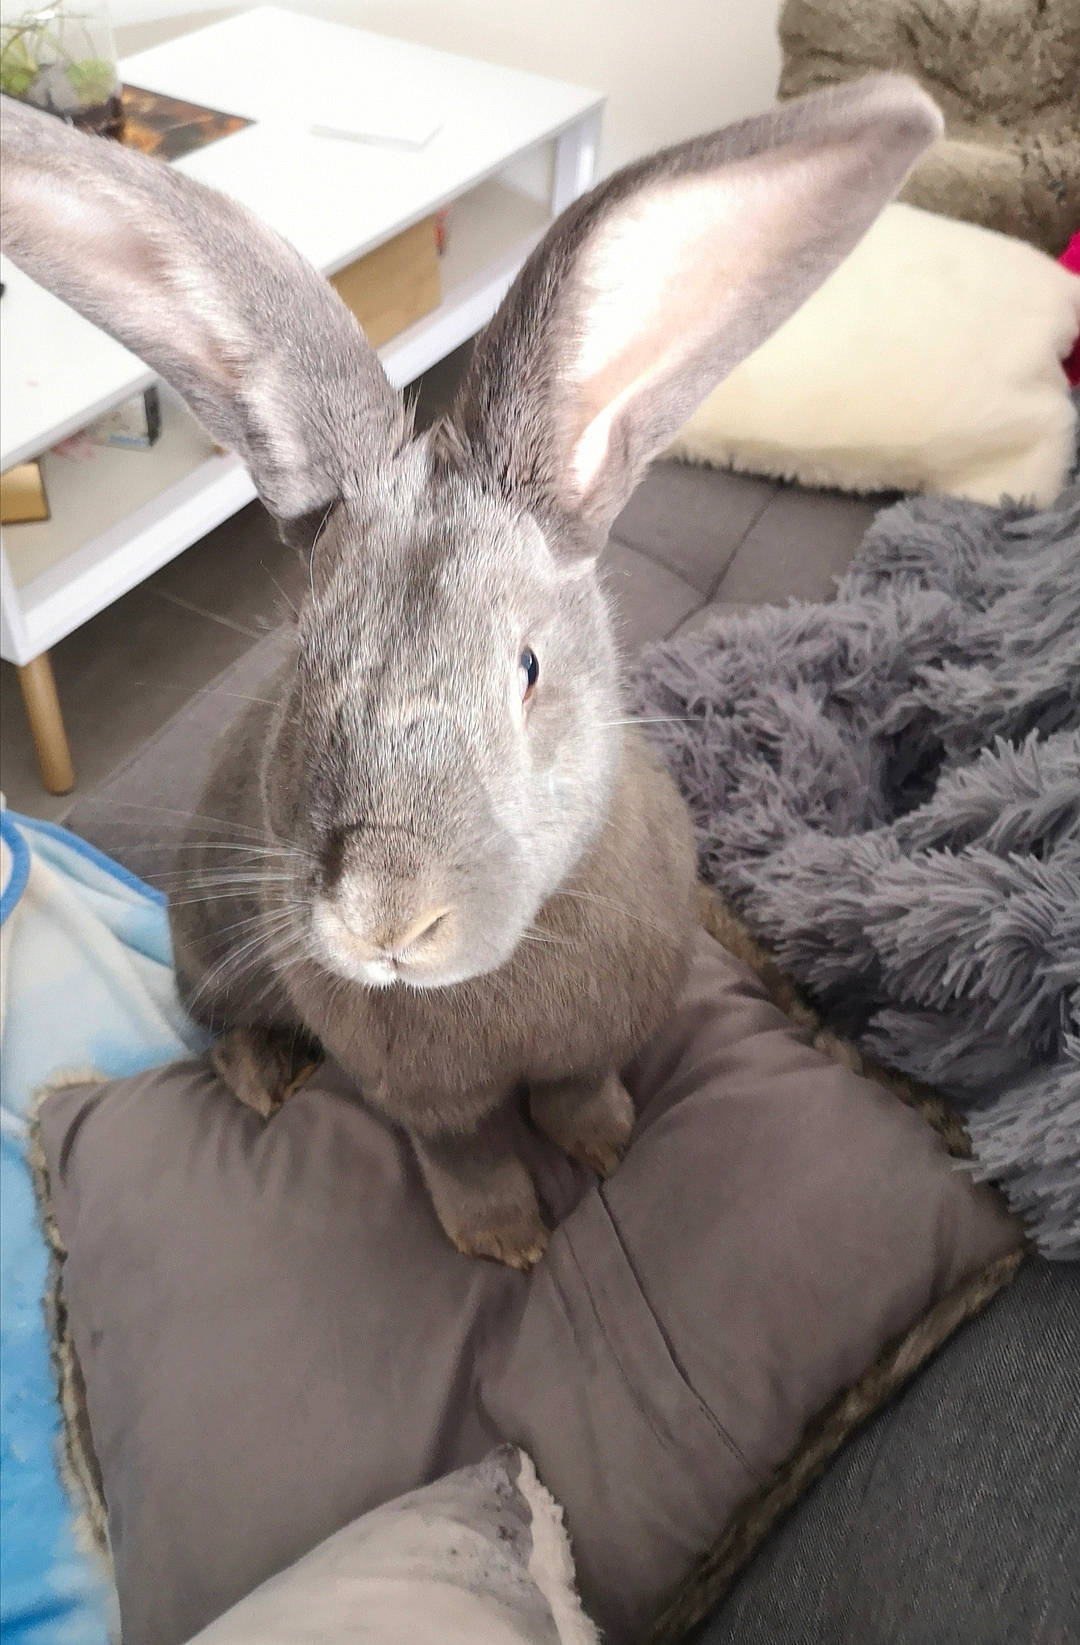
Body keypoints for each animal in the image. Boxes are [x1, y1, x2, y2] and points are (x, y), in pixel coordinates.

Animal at [1, 77, 941, 1267]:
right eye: (304, 654)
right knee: (216, 1024)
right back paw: (267, 1080)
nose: (384, 918)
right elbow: (467, 1154)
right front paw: (508, 1243)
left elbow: (578, 1090)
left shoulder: (596, 1034)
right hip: (208, 945)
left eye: (529, 668)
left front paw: (606, 1145)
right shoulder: (426, 1099)